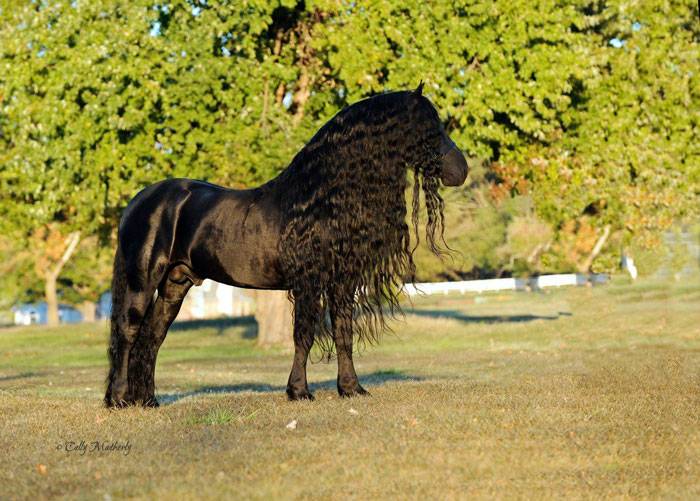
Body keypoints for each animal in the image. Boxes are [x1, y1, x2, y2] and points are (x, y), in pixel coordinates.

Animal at [105, 83, 468, 407]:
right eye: (429, 128)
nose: (461, 170)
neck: (319, 199)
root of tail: (137, 201)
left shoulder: (342, 282)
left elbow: (343, 332)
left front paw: (351, 389)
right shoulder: (309, 283)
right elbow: (303, 335)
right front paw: (299, 391)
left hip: (175, 283)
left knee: (152, 336)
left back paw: (147, 400)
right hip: (143, 280)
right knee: (128, 330)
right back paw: (120, 399)